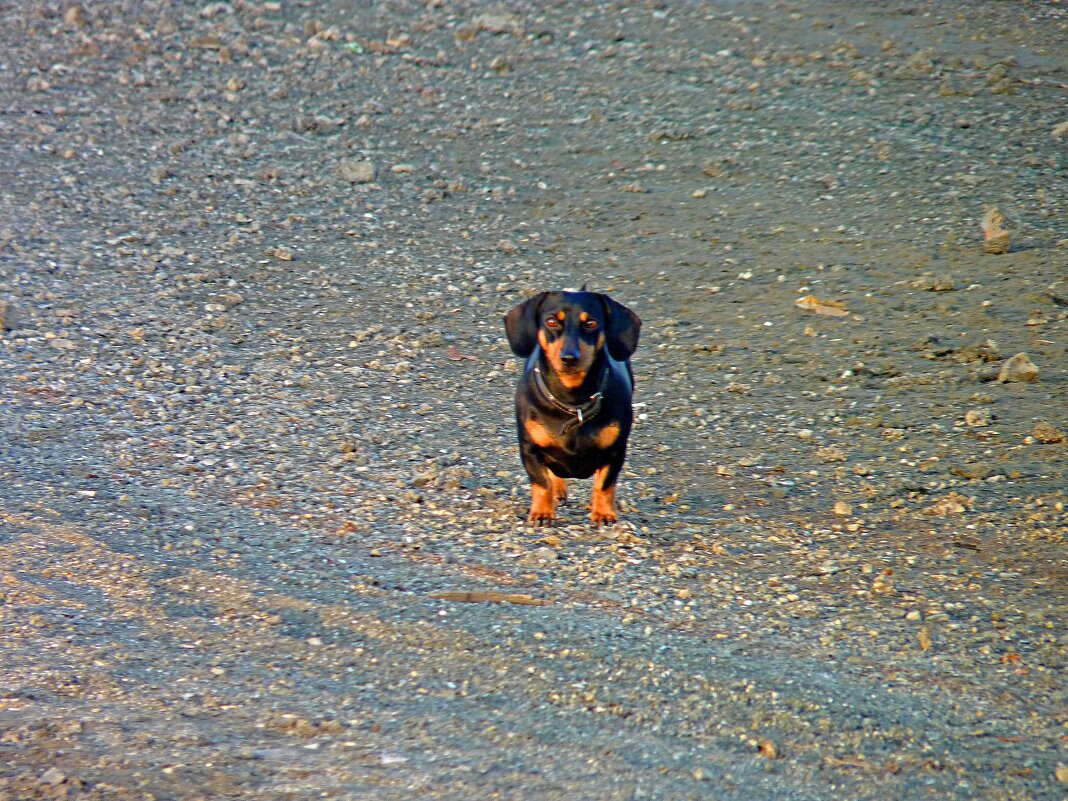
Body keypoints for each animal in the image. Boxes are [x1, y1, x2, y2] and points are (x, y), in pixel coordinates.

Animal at [501, 292, 636, 523]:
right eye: (551, 321)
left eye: (591, 323)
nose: (569, 358)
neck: (573, 402)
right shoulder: (529, 449)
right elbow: (542, 482)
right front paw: (542, 513)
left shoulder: (616, 451)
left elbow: (604, 484)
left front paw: (603, 513)